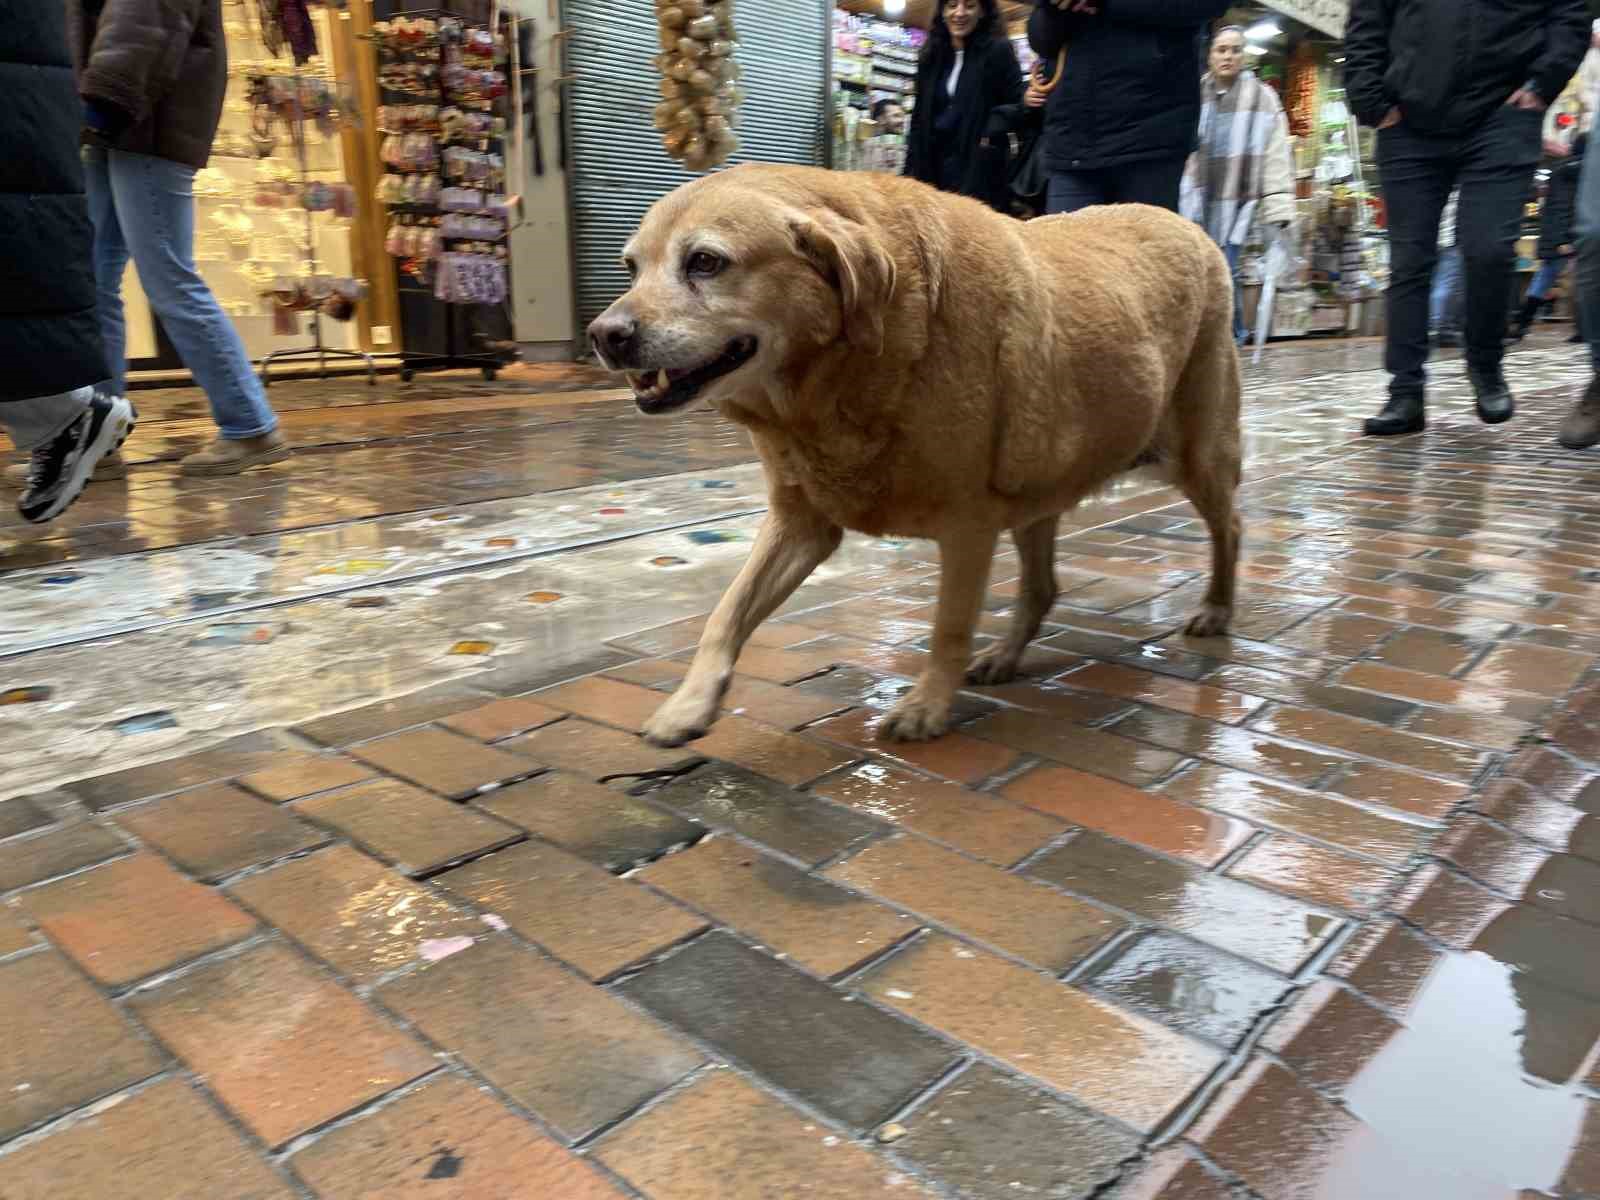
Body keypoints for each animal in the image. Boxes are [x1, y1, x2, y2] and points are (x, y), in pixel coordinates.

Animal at [595, 164, 1241, 748]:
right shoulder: (800, 522)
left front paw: (927, 705)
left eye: (705, 262)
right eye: (631, 268)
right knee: (1042, 587)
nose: (605, 335)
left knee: (1229, 527)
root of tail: (1185, 222)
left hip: (1196, 455)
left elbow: (948, 627)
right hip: (1037, 483)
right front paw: (689, 704)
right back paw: (1006, 655)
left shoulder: (967, 529)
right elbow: (726, 613)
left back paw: (1216, 609)